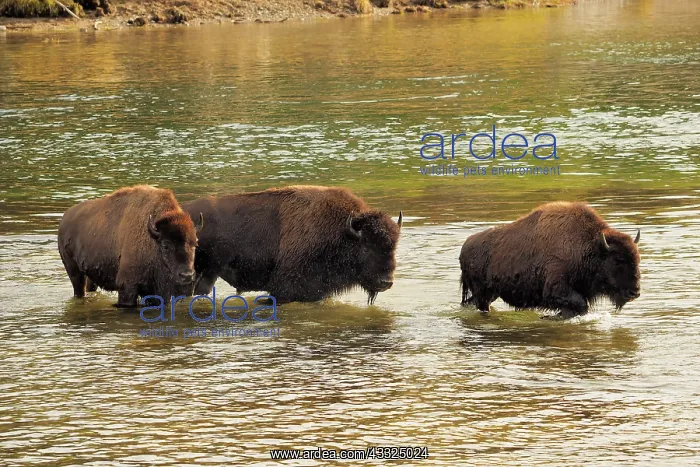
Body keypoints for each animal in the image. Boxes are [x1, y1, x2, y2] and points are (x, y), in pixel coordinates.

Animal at [58, 185, 203, 307]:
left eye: (195, 243)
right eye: (166, 245)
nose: (187, 275)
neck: (152, 239)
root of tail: (65, 218)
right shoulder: (127, 286)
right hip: (74, 271)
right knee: (78, 289)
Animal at [460, 202, 641, 319]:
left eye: (637, 259)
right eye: (617, 260)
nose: (635, 292)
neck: (587, 246)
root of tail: (465, 247)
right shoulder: (556, 288)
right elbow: (580, 305)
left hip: (491, 292)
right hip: (483, 293)